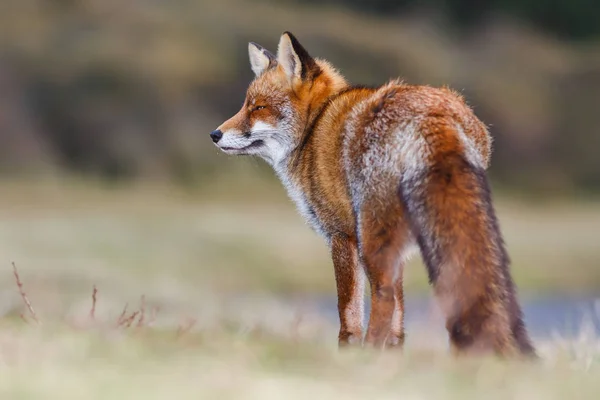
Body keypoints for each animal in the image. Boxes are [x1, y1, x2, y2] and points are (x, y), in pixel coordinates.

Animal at [211, 31, 536, 356]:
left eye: (258, 108)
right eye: (246, 105)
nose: (214, 135)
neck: (314, 127)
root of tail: (434, 112)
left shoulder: (341, 234)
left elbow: (348, 311)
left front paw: (350, 354)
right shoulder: (397, 248)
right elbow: (399, 321)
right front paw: (391, 357)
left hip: (371, 236)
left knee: (384, 295)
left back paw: (369, 349)